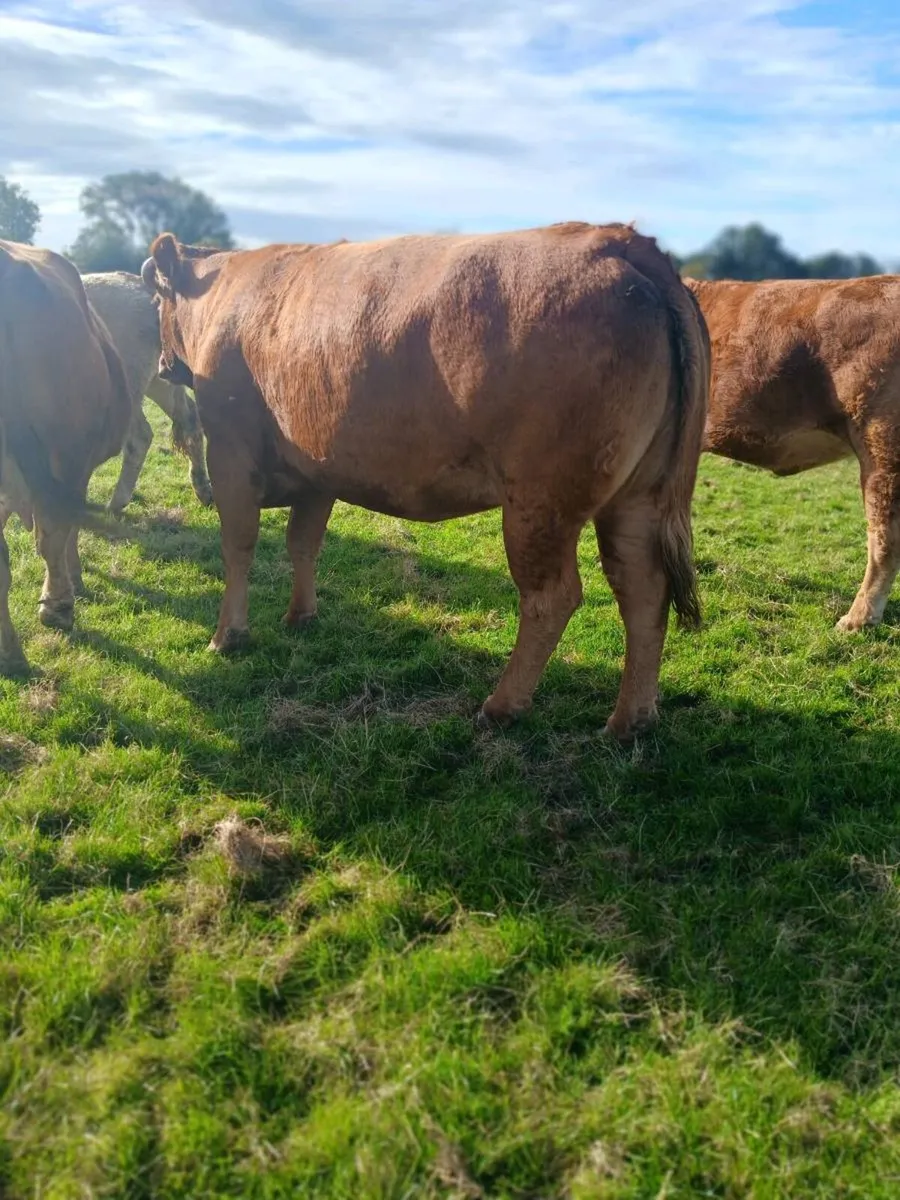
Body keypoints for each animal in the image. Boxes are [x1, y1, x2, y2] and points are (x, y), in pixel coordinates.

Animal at [81, 271, 213, 511]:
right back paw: (203, 491)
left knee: (140, 437)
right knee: (190, 419)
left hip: (128, 383)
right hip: (161, 379)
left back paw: (116, 503)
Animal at [142, 222, 709, 740]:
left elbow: (238, 546)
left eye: (157, 299)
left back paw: (502, 705)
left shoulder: (230, 453)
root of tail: (616, 239)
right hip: (639, 496)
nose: (164, 364)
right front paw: (301, 616)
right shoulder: (318, 470)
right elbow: (303, 543)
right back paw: (630, 721)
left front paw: (228, 636)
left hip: (540, 500)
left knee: (554, 596)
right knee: (642, 589)